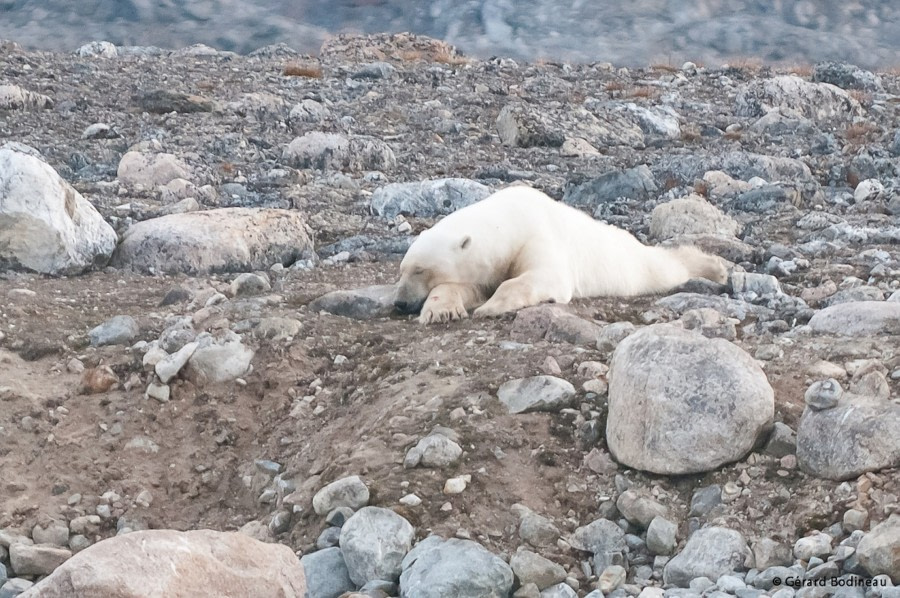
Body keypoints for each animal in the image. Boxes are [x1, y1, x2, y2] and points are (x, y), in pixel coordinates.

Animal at [396, 189, 732, 326]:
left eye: (420, 270)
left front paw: (490, 307)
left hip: (631, 264)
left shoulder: (537, 234)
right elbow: (472, 287)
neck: (508, 219)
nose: (399, 302)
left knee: (664, 267)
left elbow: (545, 276)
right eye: (403, 269)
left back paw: (713, 267)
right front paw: (440, 310)